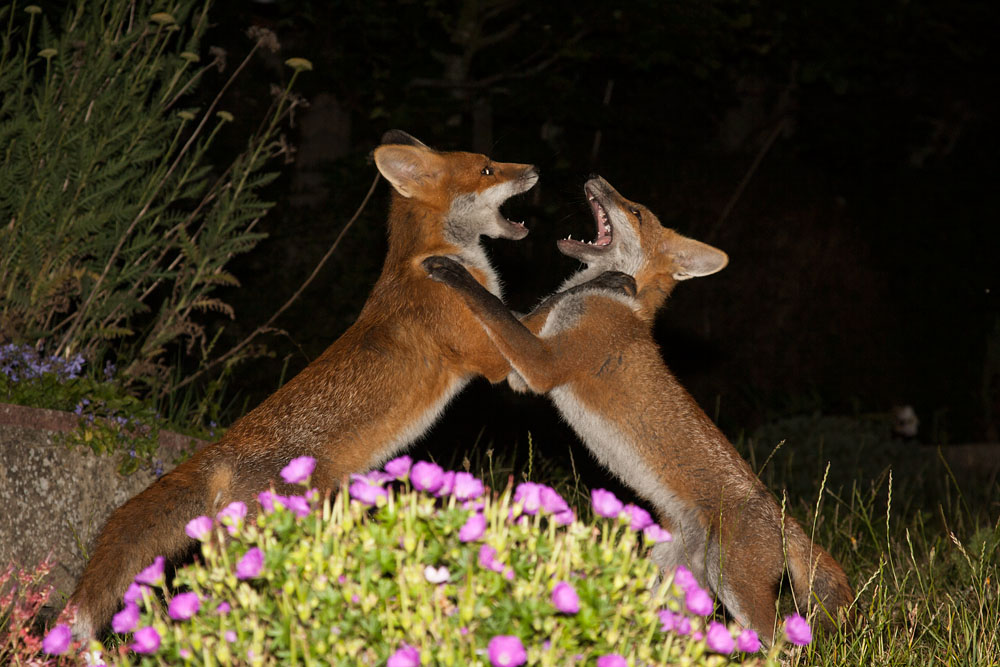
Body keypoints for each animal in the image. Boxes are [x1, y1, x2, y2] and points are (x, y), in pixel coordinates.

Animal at [67, 130, 539, 638]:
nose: (534, 169)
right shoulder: (489, 358)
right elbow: (527, 326)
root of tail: (218, 451)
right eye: (488, 169)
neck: (436, 256)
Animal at [422, 176, 855, 643]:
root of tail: (783, 517)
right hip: (668, 573)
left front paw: (454, 272)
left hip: (733, 585)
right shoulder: (525, 373)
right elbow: (525, 312)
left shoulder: (543, 366)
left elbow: (493, 306)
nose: (595, 179)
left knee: (783, 645)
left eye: (636, 212)